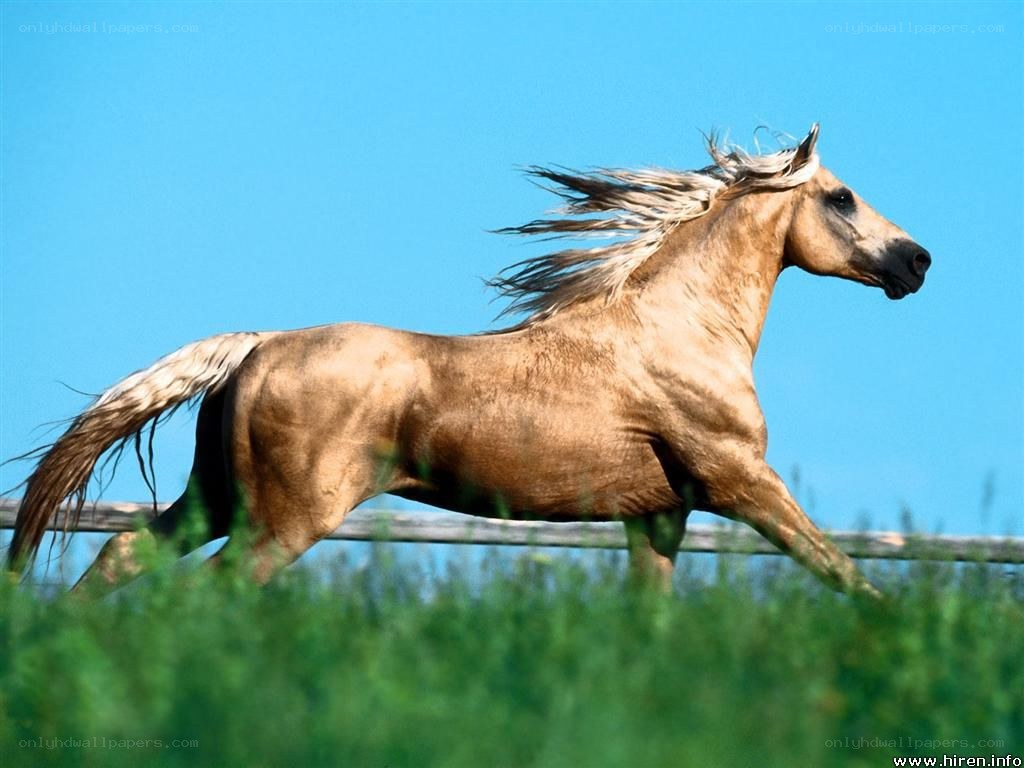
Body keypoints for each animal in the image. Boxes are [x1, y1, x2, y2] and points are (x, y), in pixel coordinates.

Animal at [6, 124, 931, 596]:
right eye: (842, 198)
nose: (917, 262)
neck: (677, 330)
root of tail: (257, 345)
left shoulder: (659, 517)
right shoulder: (742, 484)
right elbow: (849, 577)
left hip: (216, 499)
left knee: (120, 557)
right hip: (286, 519)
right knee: (208, 593)